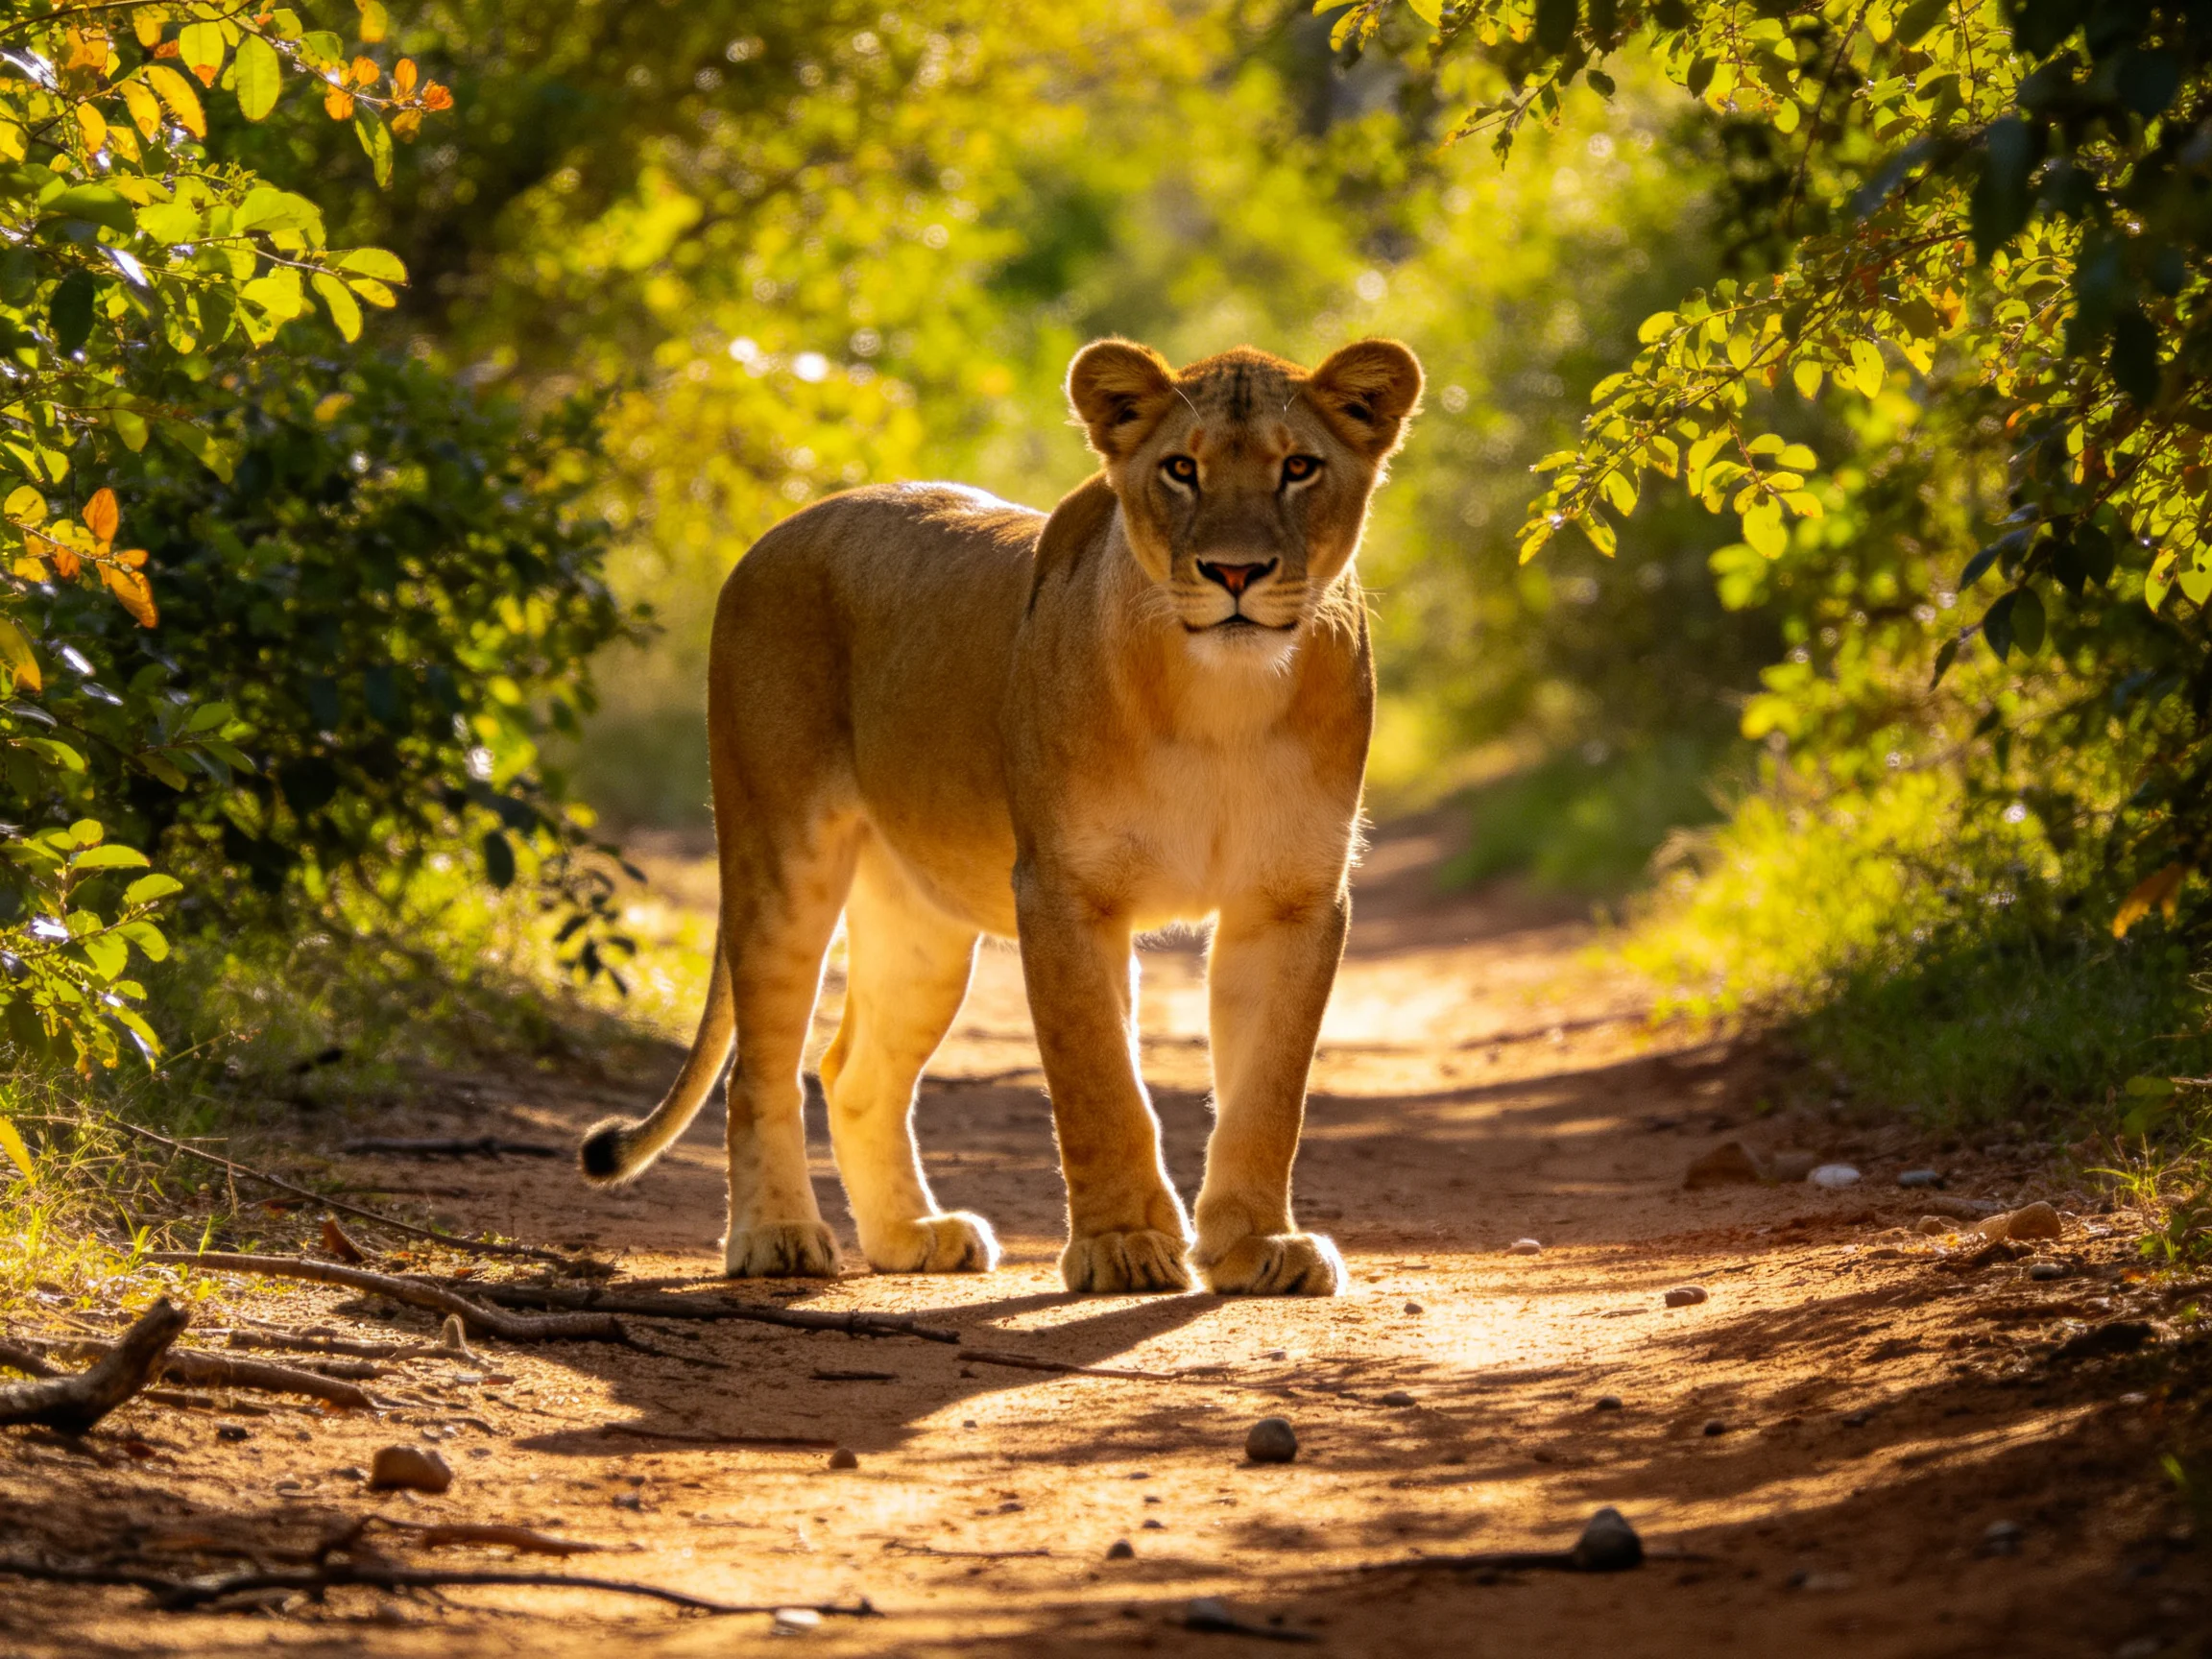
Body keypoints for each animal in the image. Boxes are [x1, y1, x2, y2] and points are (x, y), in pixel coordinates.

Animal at [578, 336, 1423, 1295]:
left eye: (1298, 468)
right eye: (1181, 469)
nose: (1235, 573)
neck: (1223, 700)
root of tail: (777, 533)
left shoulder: (1292, 899)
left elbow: (1268, 1090)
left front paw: (1258, 1245)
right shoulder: (1061, 889)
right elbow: (1100, 1081)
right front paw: (1121, 1245)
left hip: (921, 924)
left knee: (853, 1071)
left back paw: (913, 1234)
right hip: (781, 856)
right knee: (760, 1070)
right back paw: (777, 1237)